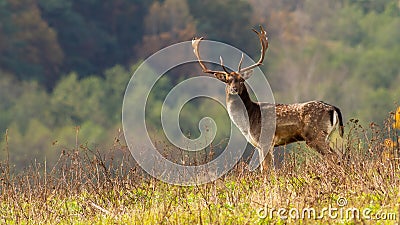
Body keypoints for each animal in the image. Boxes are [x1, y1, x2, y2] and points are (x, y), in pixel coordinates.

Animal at [192, 25, 342, 171]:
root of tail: (333, 108)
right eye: (228, 80)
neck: (248, 121)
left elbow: (267, 170)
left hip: (315, 135)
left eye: (241, 80)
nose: (234, 89)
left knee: (334, 157)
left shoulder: (265, 141)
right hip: (324, 136)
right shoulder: (259, 146)